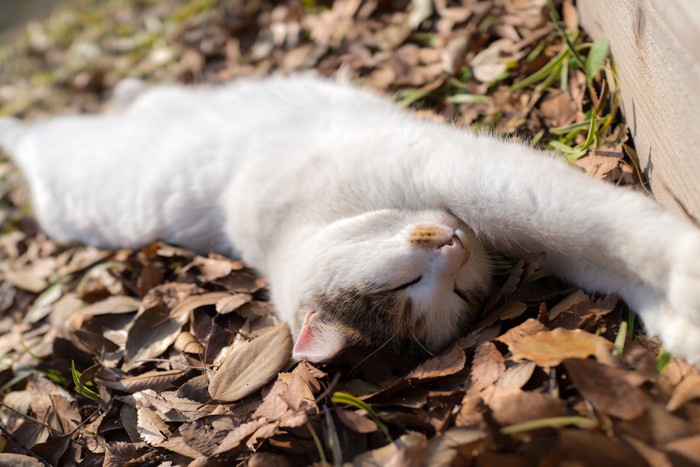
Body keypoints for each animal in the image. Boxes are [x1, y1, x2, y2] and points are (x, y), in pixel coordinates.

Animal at [1, 75, 700, 366]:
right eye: (442, 293)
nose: (452, 248)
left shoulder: (477, 180)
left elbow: (597, 229)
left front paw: (680, 282)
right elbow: (599, 250)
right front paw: (681, 313)